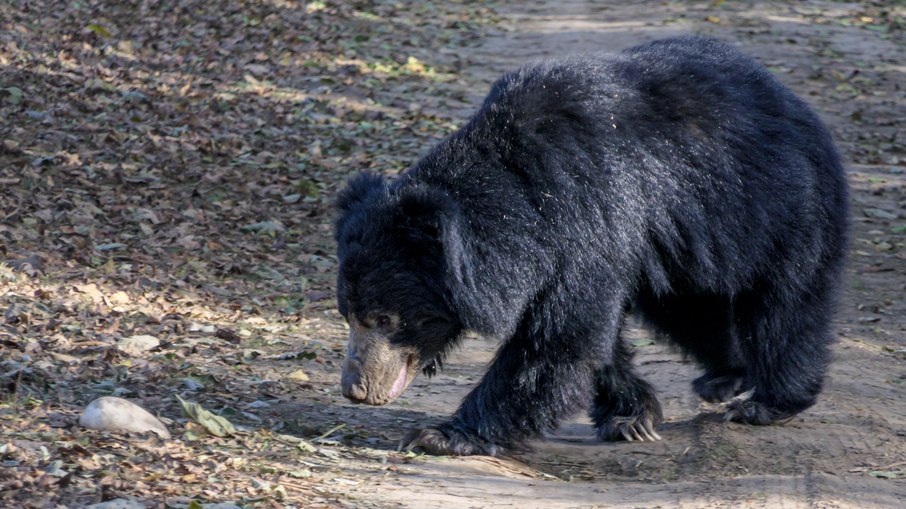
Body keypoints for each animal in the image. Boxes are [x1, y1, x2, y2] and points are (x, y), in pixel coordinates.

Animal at [333, 36, 849, 456]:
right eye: (348, 314)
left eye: (384, 319)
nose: (354, 388)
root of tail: (791, 100)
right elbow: (592, 338)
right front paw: (632, 417)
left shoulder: (587, 220)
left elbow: (560, 341)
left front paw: (441, 435)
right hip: (684, 242)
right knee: (689, 309)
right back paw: (724, 376)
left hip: (782, 206)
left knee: (785, 305)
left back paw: (768, 402)